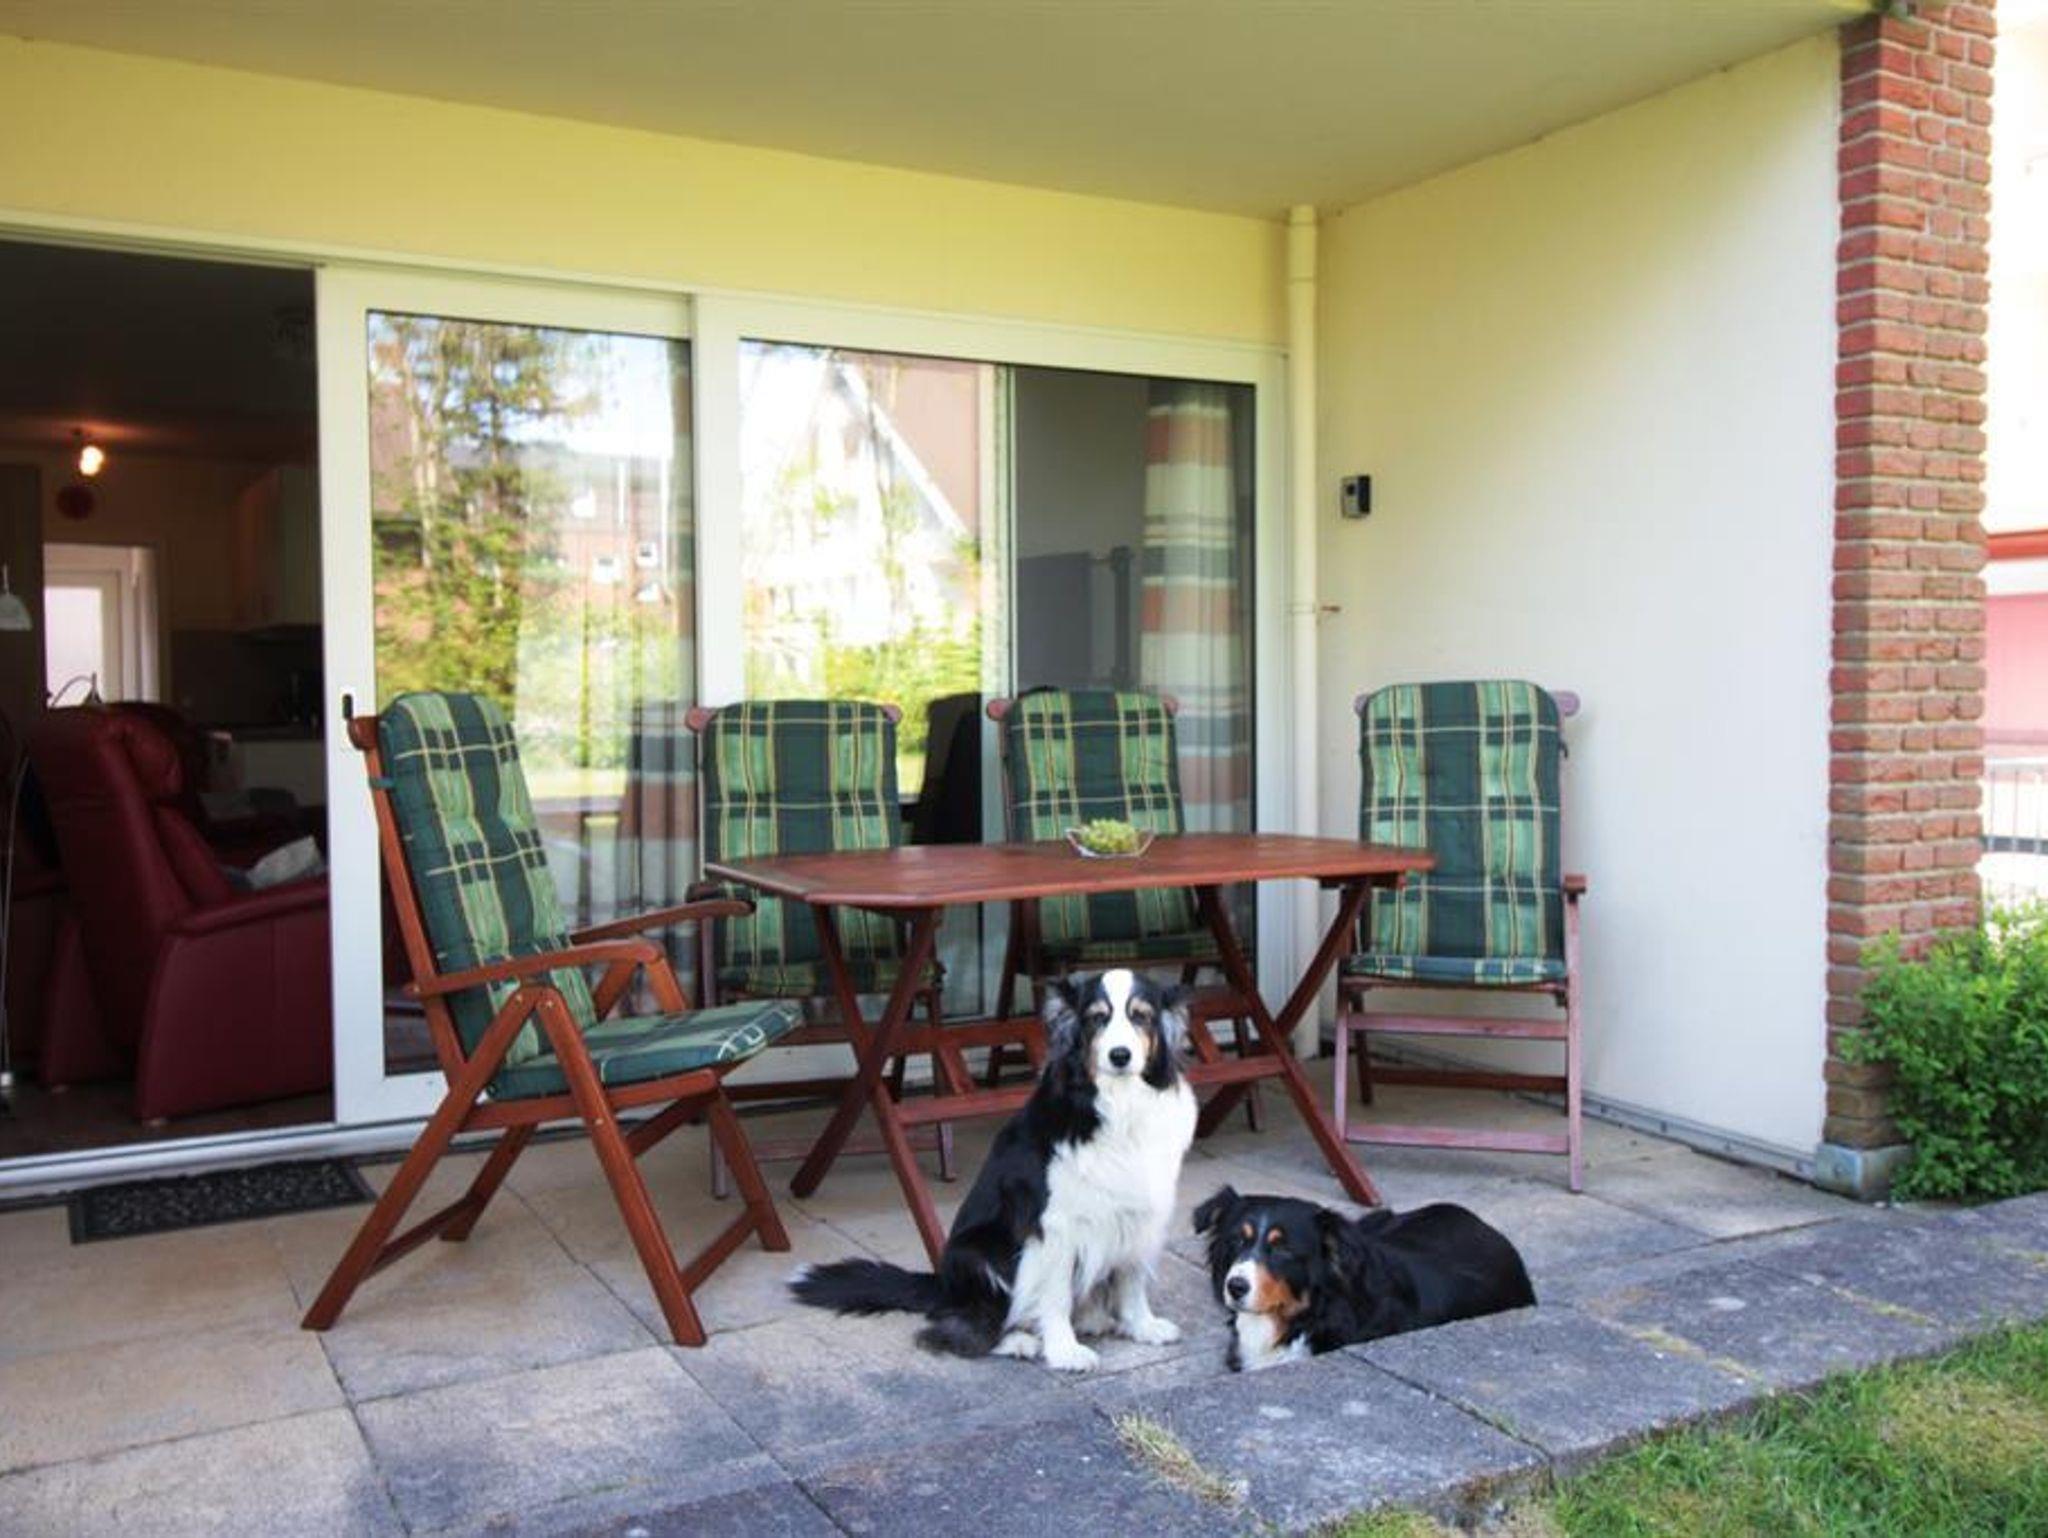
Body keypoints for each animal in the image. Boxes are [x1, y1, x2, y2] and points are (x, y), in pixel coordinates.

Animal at [791, 969, 1196, 1372]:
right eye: (1097, 1018)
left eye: (1141, 1016)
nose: (1120, 1056)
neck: (1117, 1102)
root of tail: (940, 1284)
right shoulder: (1055, 1225)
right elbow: (1056, 1294)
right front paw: (1064, 1351)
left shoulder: (1142, 1212)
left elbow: (1132, 1280)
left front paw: (1142, 1326)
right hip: (976, 1253)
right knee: (954, 1327)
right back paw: (1020, 1341)